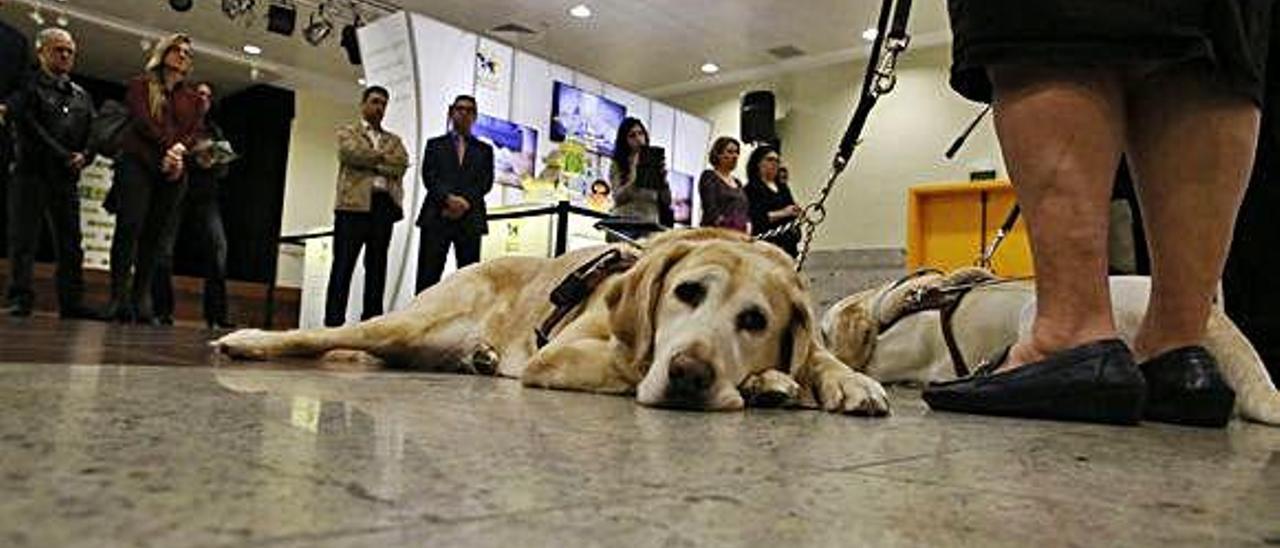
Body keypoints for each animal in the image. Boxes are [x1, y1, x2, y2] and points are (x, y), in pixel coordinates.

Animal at [215, 229, 890, 412]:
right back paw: (246, 339)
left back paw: (480, 358)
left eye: (754, 319)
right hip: (398, 325)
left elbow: (818, 354)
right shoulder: (564, 353)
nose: (692, 376)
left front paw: (837, 379)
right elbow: (634, 360)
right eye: (687, 292)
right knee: (325, 334)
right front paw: (770, 382)